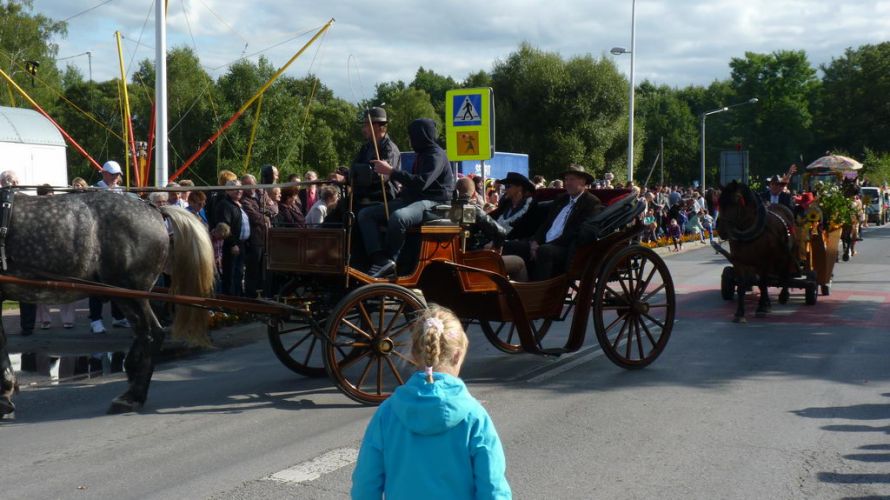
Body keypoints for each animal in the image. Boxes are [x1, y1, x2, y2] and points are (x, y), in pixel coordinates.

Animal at [716, 182, 796, 322]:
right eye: (719, 202)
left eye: (736, 201)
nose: (721, 230)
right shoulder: (739, 261)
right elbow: (742, 285)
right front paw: (740, 313)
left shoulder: (763, 261)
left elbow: (763, 283)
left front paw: (761, 308)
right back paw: (767, 302)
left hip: (785, 254)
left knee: (784, 273)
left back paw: (782, 296)